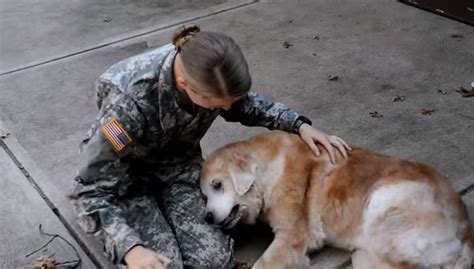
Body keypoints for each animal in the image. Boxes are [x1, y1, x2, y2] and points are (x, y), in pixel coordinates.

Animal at [201, 132, 474, 268]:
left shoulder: (291, 236)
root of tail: (466, 230)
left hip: (382, 199)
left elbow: (263, 264)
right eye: (204, 195)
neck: (268, 170)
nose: (207, 217)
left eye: (218, 185)